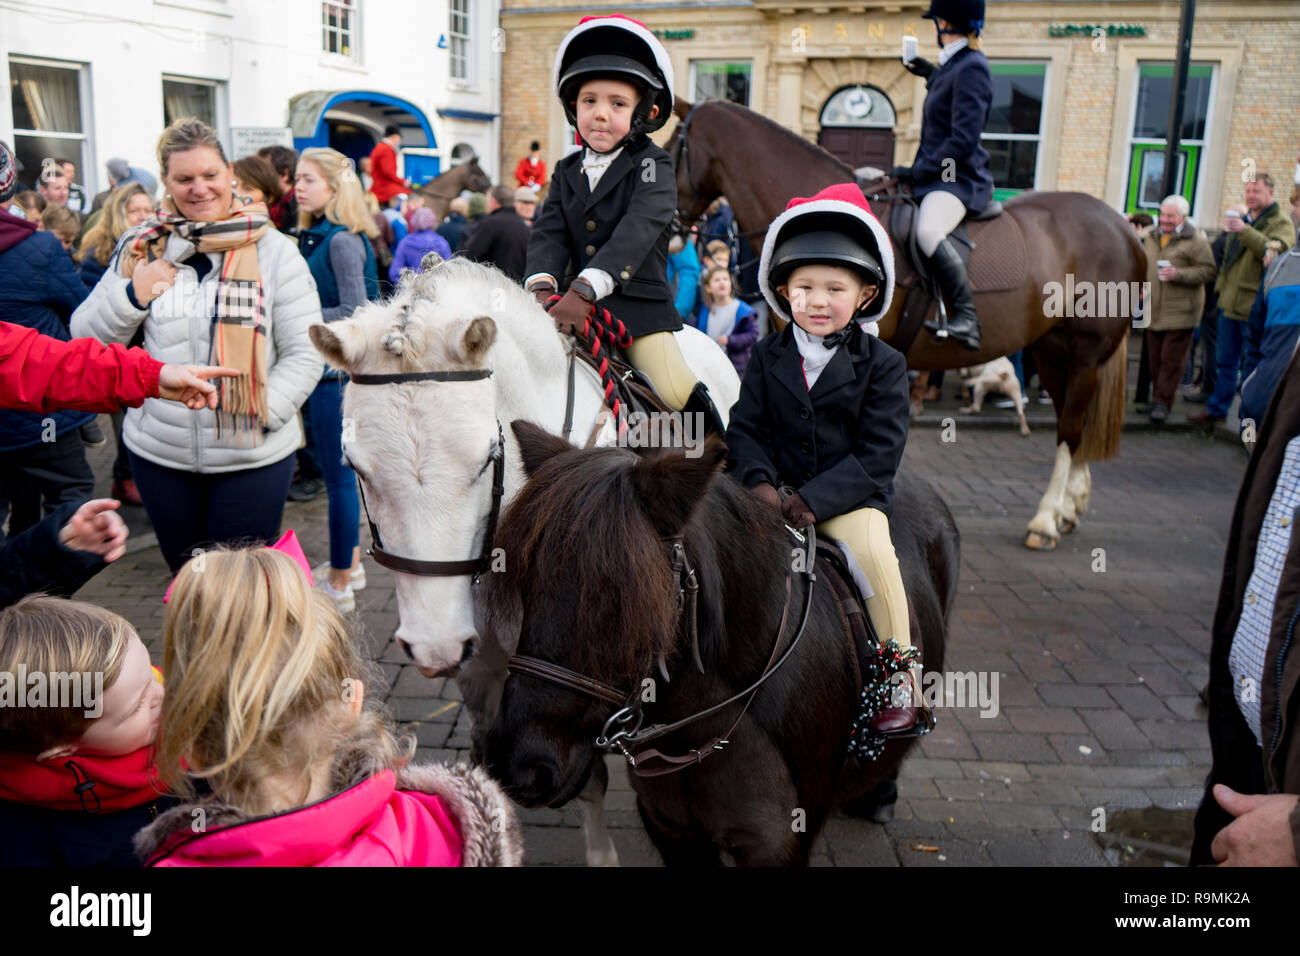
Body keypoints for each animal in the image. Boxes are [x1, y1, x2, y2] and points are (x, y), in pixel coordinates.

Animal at [310, 254, 743, 868]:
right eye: (354, 465)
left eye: (488, 456)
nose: (435, 646)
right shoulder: (485, 661)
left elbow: (584, 767)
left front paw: (601, 855)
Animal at [665, 100, 1144, 548]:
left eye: (670, 150)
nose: (670, 234)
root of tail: (1124, 228)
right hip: (1053, 350)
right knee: (1072, 423)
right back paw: (1070, 509)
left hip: (1086, 351)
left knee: (1070, 430)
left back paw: (1046, 520)